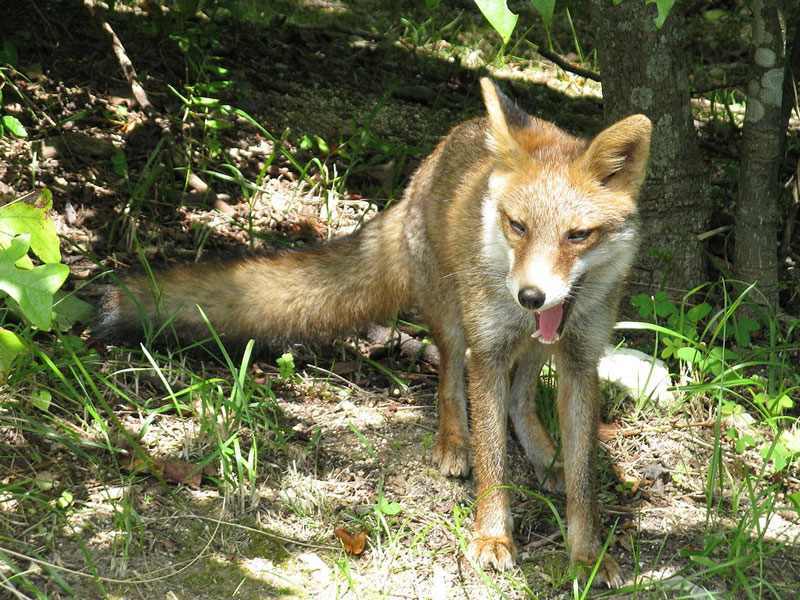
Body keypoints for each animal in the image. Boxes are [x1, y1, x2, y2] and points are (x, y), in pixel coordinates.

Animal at [98, 78, 648, 584]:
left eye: (578, 236)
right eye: (517, 226)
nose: (530, 297)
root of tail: (436, 155)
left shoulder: (581, 360)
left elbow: (583, 480)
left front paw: (586, 555)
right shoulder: (488, 352)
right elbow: (493, 464)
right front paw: (492, 537)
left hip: (531, 344)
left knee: (520, 398)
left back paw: (544, 455)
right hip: (456, 322)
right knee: (450, 383)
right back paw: (454, 443)